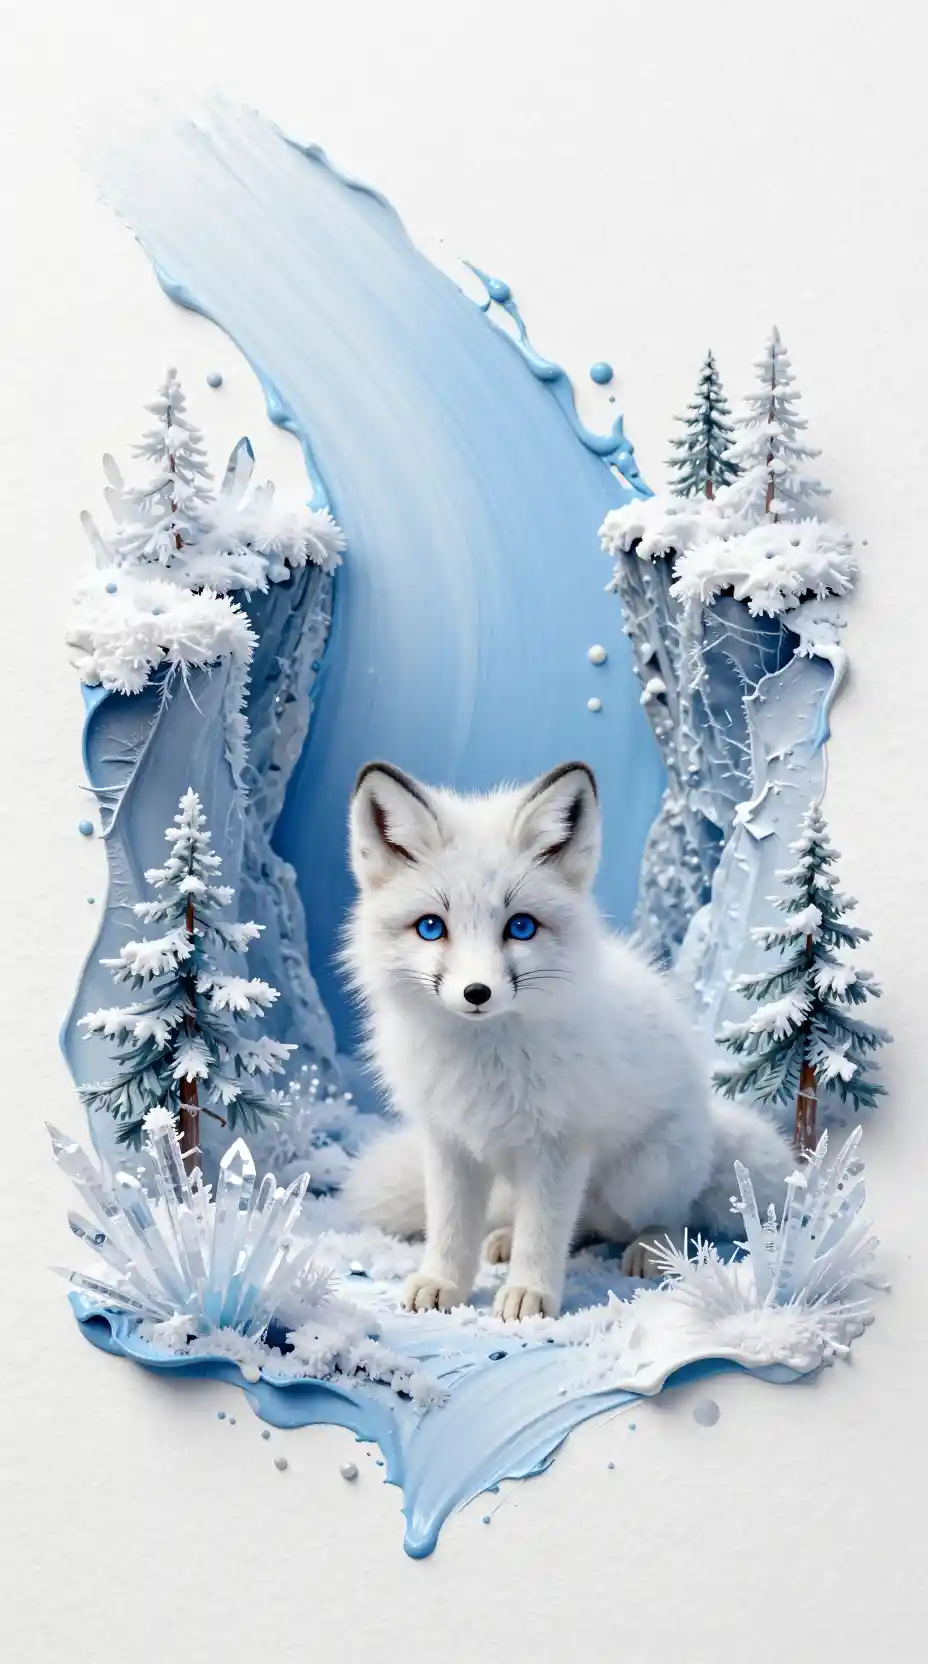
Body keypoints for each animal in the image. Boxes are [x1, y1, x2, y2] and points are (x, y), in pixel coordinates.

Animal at [340, 758, 794, 1321]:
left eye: (520, 926)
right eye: (430, 927)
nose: (476, 993)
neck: (484, 1063)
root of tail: (709, 1121)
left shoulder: (559, 1145)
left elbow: (545, 1233)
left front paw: (529, 1294)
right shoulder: (449, 1142)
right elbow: (449, 1230)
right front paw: (442, 1282)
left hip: (643, 1177)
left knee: (672, 1217)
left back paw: (652, 1247)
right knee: (574, 1227)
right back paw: (505, 1238)